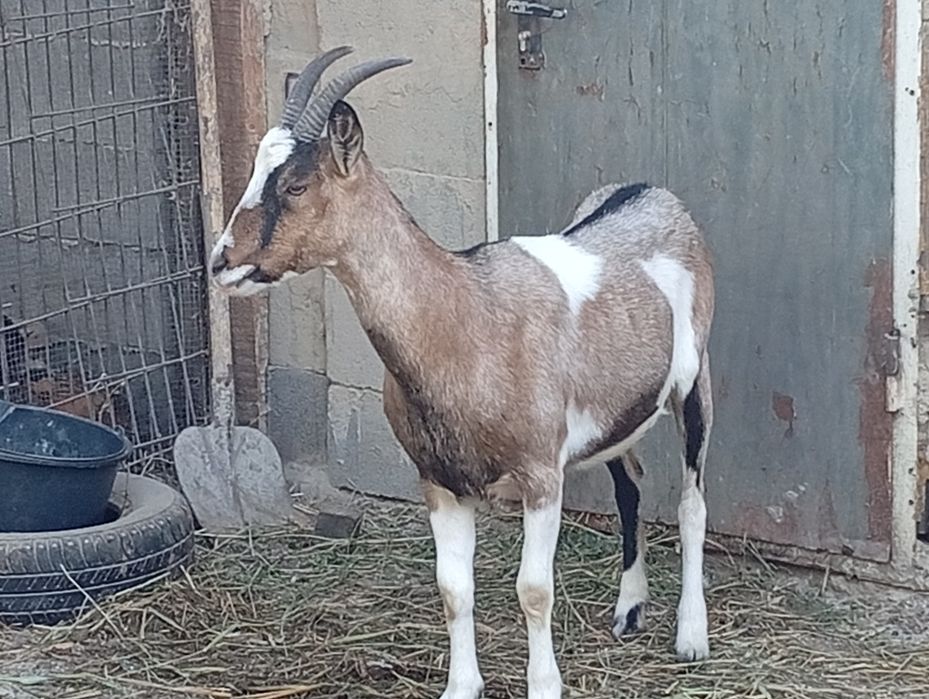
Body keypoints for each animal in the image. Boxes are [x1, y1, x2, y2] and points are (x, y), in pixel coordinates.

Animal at [210, 48, 715, 699]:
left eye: (296, 184)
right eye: (254, 171)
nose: (222, 262)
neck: (464, 316)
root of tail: (651, 194)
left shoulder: (540, 475)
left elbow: (533, 590)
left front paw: (544, 686)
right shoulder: (440, 480)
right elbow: (454, 589)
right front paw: (461, 686)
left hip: (695, 383)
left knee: (692, 502)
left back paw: (691, 636)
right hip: (617, 413)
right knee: (630, 483)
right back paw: (629, 610)